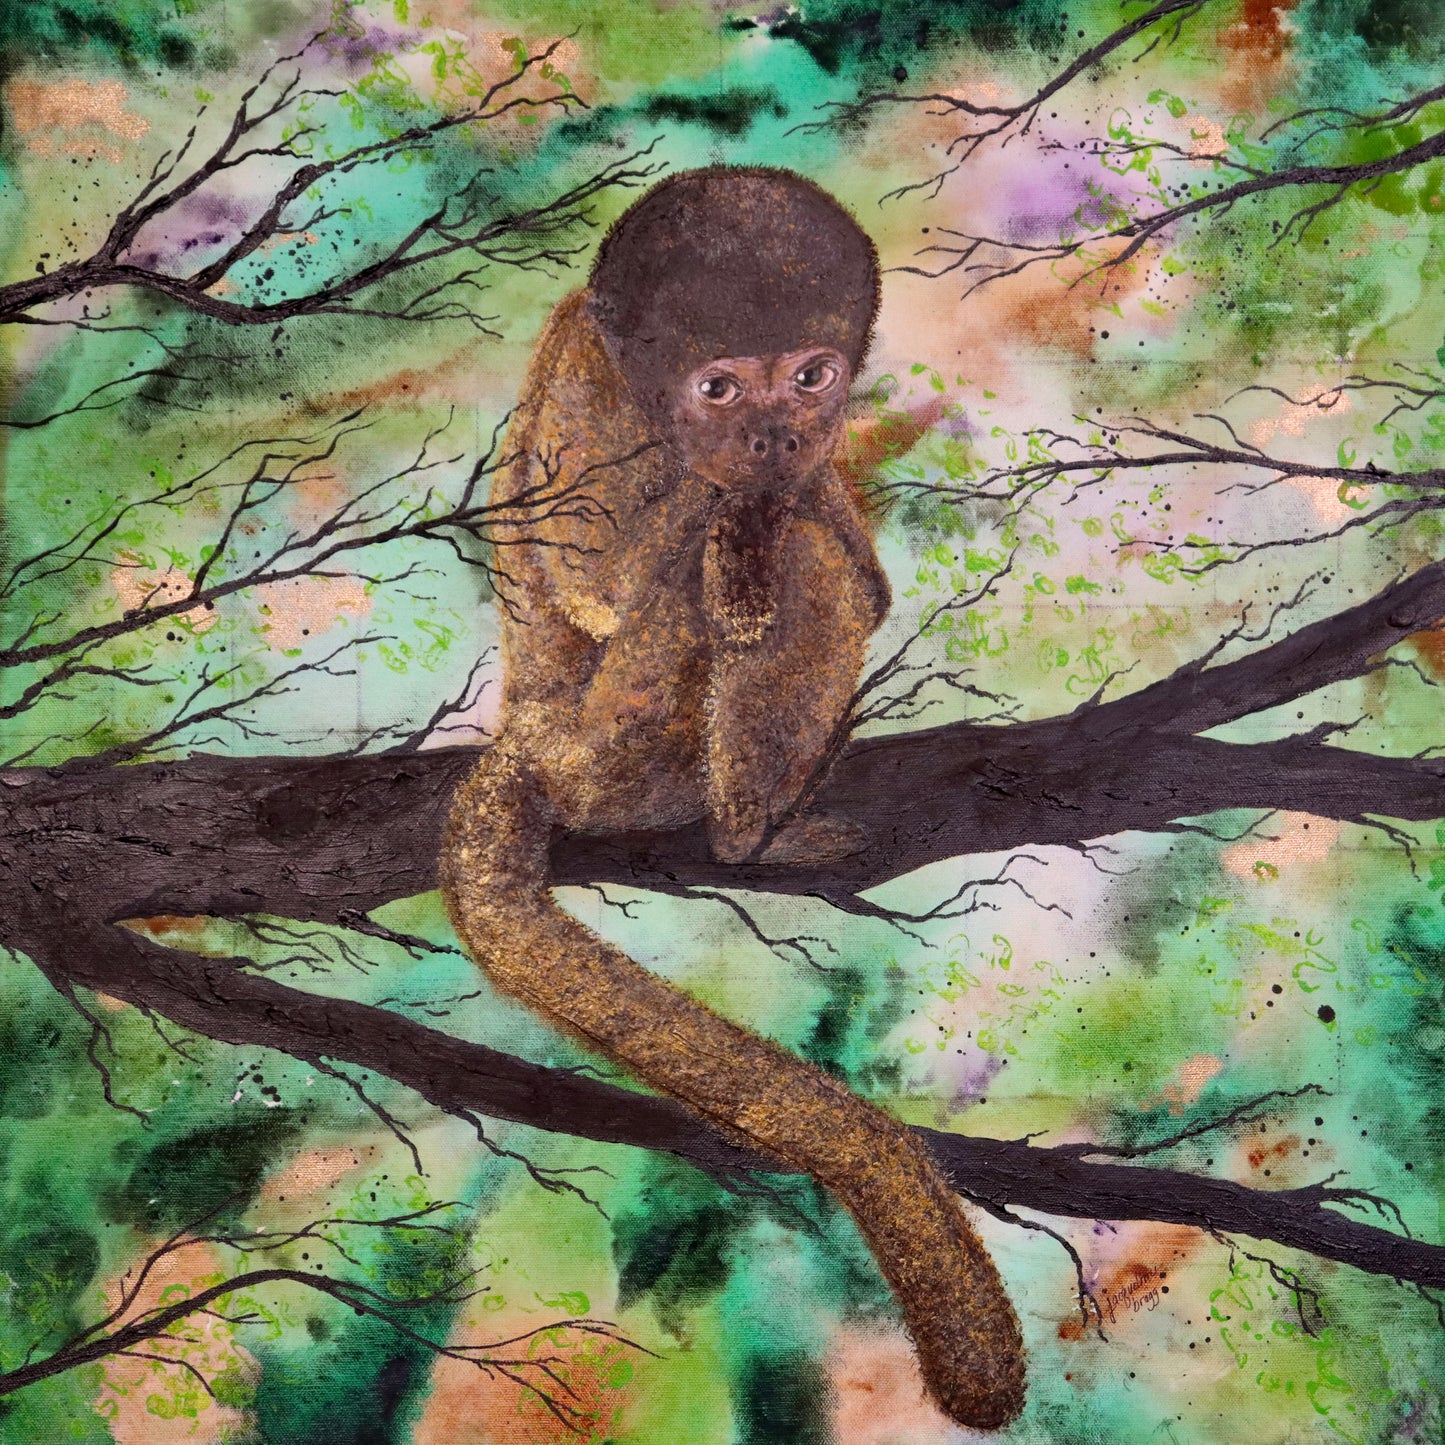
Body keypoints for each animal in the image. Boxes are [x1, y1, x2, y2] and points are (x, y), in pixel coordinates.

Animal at [440, 168, 1026, 1431]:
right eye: (718, 385)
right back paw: (754, 825)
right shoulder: (597, 407)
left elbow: (830, 530)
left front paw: (792, 496)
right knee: (773, 572)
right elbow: (622, 579)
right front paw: (747, 523)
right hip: (622, 746)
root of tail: (532, 731)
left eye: (807, 374)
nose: (770, 433)